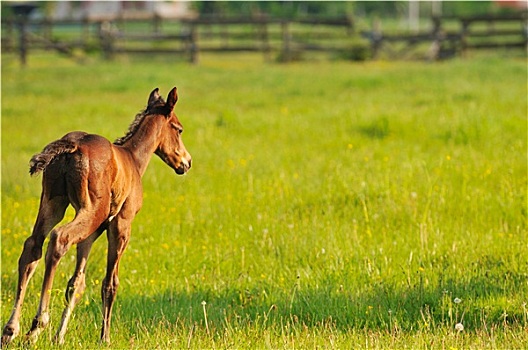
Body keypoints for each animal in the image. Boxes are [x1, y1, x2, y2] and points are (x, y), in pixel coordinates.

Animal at [1, 87, 191, 344]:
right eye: (178, 129)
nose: (186, 162)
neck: (133, 159)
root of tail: (72, 145)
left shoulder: (92, 234)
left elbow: (76, 283)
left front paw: (60, 337)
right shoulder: (121, 225)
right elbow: (110, 283)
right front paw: (105, 337)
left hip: (54, 203)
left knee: (33, 246)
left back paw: (11, 329)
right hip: (90, 210)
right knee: (59, 239)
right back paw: (37, 325)